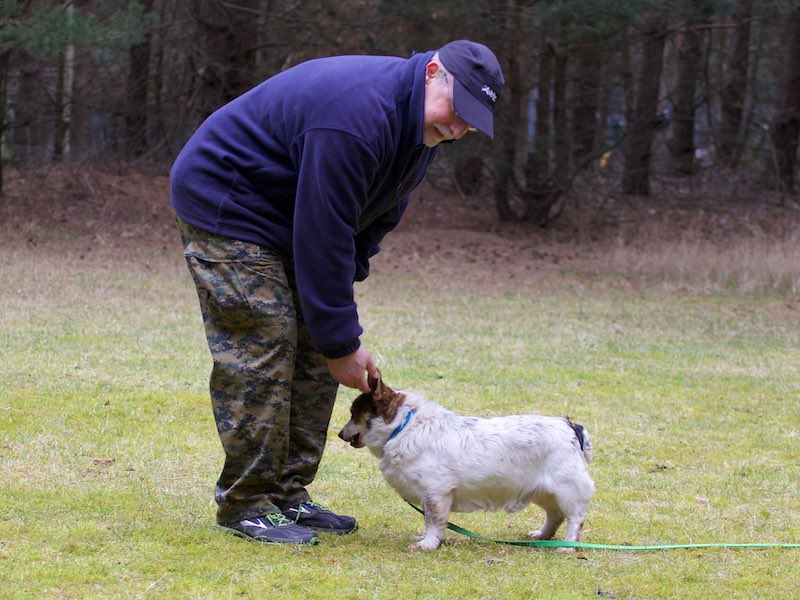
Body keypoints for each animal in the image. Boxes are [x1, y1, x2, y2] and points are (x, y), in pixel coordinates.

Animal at [338, 375, 595, 551]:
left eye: (353, 412)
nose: (339, 434)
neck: (404, 427)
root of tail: (571, 426)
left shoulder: (436, 493)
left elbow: (433, 521)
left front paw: (427, 544)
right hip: (545, 492)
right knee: (555, 516)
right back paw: (542, 536)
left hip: (566, 490)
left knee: (574, 519)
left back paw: (568, 546)